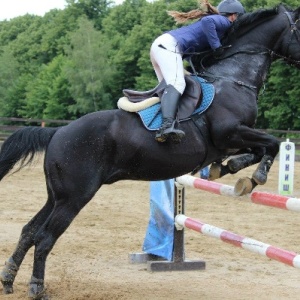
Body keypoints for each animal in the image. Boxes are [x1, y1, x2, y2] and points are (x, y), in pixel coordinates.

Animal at [0, 3, 300, 298]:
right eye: (299, 30)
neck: (233, 78)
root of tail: (57, 132)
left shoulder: (232, 139)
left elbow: (259, 149)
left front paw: (230, 169)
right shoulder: (230, 132)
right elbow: (272, 143)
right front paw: (255, 176)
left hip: (57, 196)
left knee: (29, 231)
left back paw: (9, 279)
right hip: (74, 197)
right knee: (44, 237)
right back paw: (37, 288)